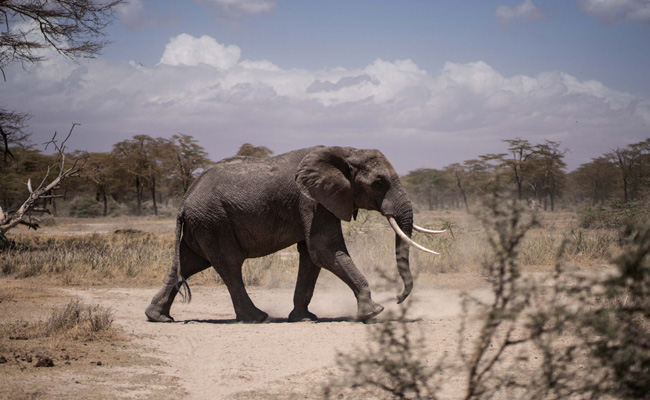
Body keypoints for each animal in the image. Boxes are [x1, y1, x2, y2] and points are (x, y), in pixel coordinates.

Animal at [145, 146, 443, 323]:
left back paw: (159, 318)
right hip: (214, 221)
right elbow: (323, 250)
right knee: (229, 265)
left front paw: (304, 317)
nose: (399, 299)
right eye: (378, 182)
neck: (345, 152)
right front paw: (373, 314)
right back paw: (257, 317)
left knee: (188, 264)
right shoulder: (312, 201)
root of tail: (184, 201)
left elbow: (311, 256)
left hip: (202, 224)